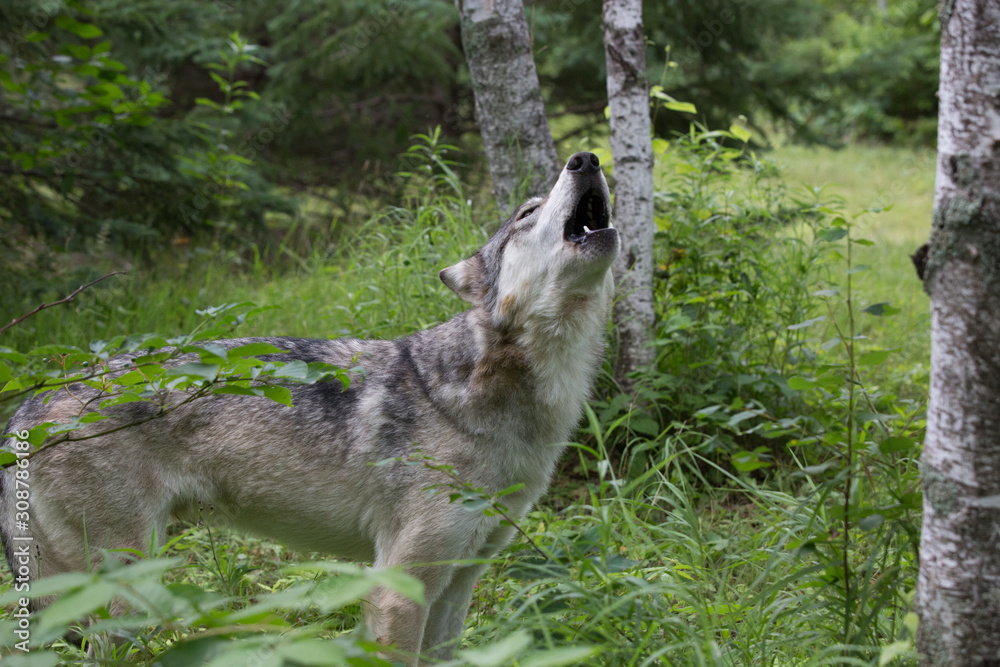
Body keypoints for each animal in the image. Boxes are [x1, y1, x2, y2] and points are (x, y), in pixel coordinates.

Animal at [0, 152, 619, 664]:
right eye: (527, 212)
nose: (586, 158)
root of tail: (26, 408)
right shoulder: (399, 589)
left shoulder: (457, 586)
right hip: (123, 592)